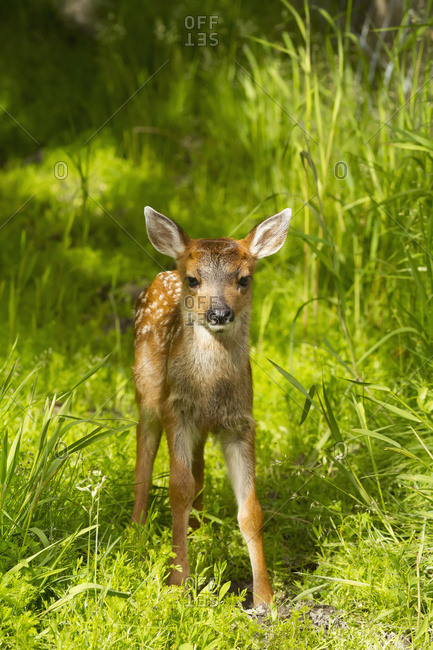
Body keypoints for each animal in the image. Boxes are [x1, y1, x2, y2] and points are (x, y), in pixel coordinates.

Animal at [132, 205, 292, 606]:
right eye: (193, 279)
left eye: (244, 279)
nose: (219, 313)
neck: (210, 392)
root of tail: (162, 273)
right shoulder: (176, 411)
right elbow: (178, 489)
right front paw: (178, 581)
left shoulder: (241, 423)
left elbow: (251, 509)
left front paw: (265, 597)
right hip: (147, 396)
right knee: (143, 461)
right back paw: (136, 533)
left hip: (202, 428)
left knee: (200, 467)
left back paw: (199, 530)